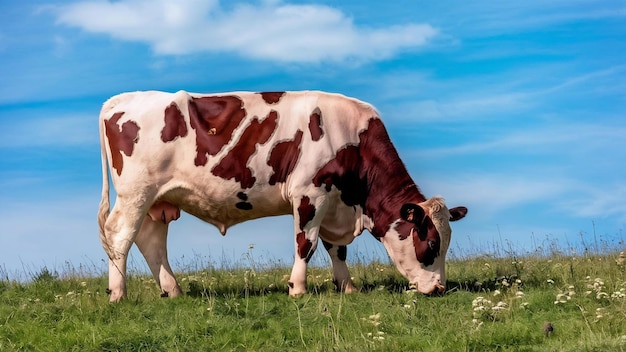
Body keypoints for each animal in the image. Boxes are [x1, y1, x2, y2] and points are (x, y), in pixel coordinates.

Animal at [97, 89, 466, 302]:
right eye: (431, 243)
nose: (439, 288)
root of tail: (122, 99)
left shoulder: (332, 202)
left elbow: (337, 250)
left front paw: (347, 286)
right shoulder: (310, 193)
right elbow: (307, 244)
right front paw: (297, 289)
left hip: (158, 201)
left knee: (151, 242)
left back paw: (172, 291)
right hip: (135, 193)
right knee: (119, 235)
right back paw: (118, 294)